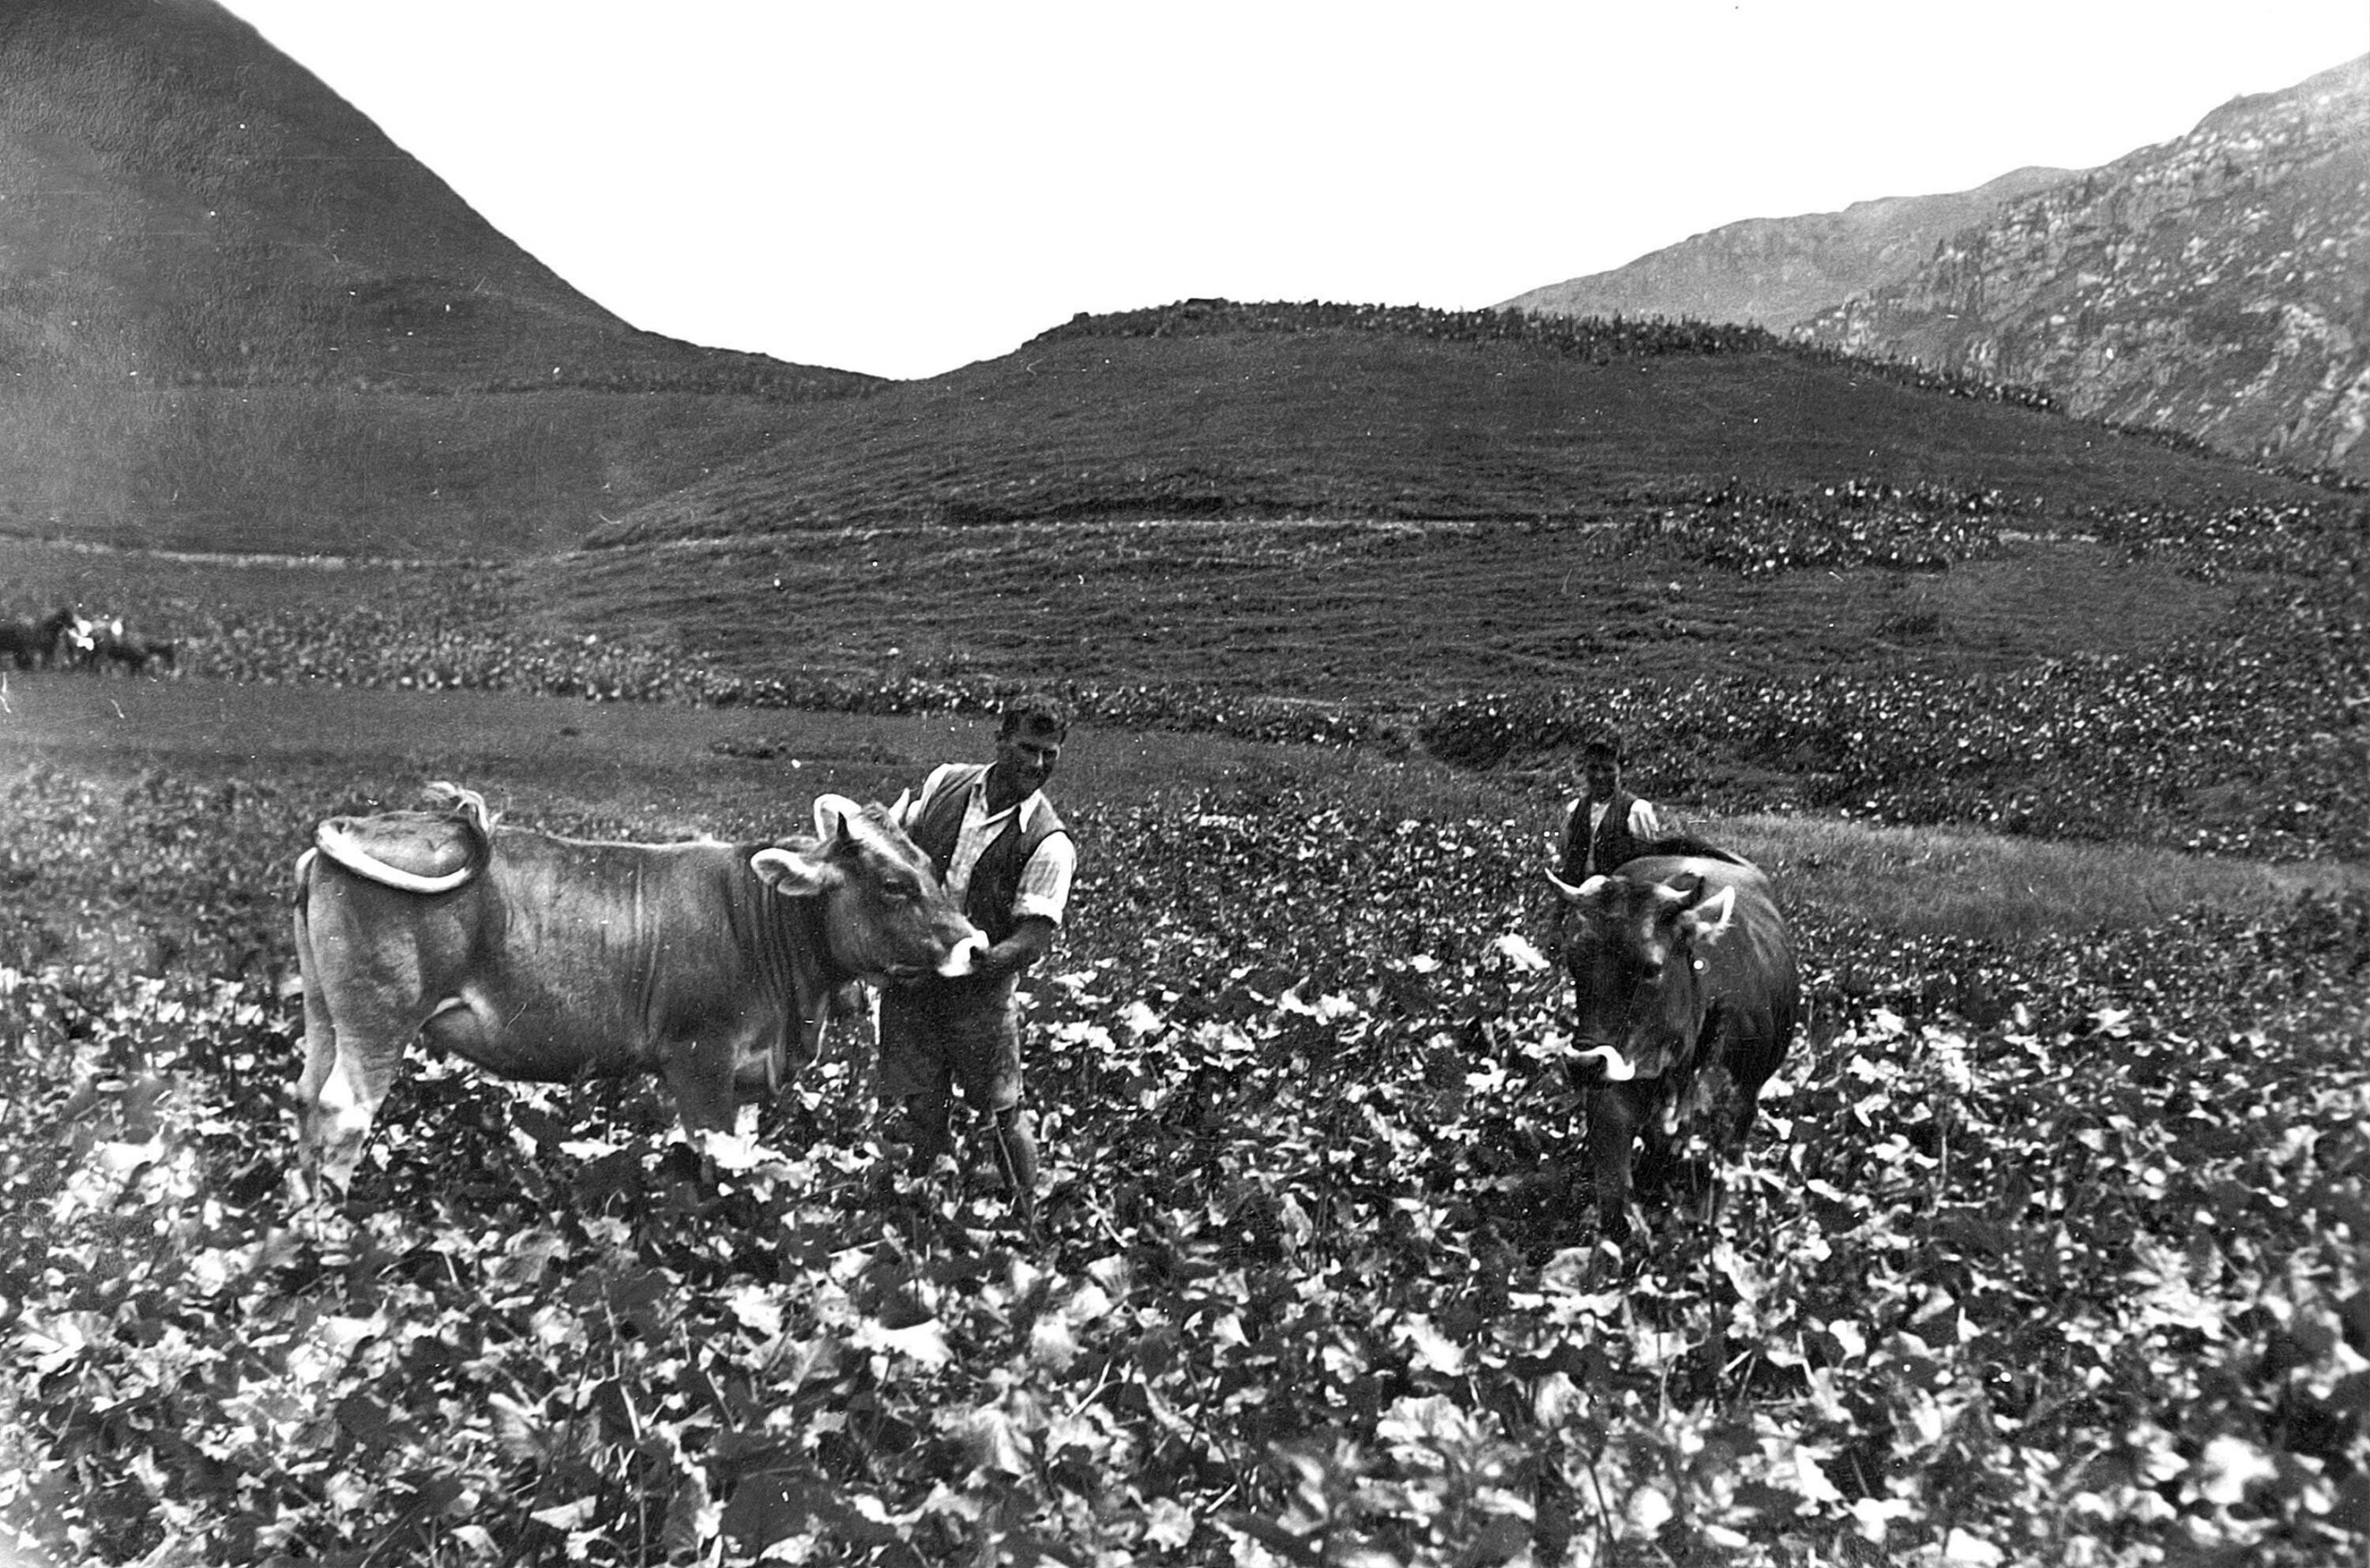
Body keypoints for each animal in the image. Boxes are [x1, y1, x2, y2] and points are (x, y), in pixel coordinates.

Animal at [292, 783, 986, 1197]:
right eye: (894, 885)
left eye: (930, 866)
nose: (975, 943)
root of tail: (355, 826)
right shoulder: (698, 1058)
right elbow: (714, 1151)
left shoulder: (745, 1076)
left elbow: (742, 1151)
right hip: (379, 1016)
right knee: (344, 1108)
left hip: (324, 1011)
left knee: (306, 1095)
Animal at [1547, 844, 1799, 1237]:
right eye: (1575, 962)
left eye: (1651, 968)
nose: (1584, 1064)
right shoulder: (1611, 1098)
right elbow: (1616, 1204)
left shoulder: (1737, 1113)